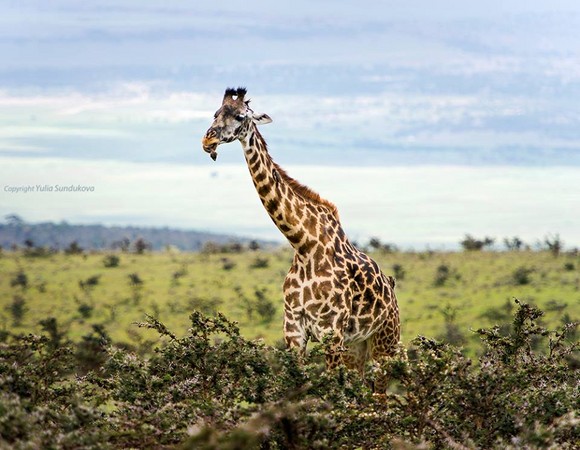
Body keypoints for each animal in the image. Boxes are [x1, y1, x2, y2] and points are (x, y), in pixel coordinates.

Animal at [202, 88, 402, 384]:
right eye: (215, 113)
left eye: (239, 116)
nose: (209, 139)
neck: (304, 243)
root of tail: (392, 288)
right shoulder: (294, 329)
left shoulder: (332, 332)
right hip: (357, 346)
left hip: (385, 342)